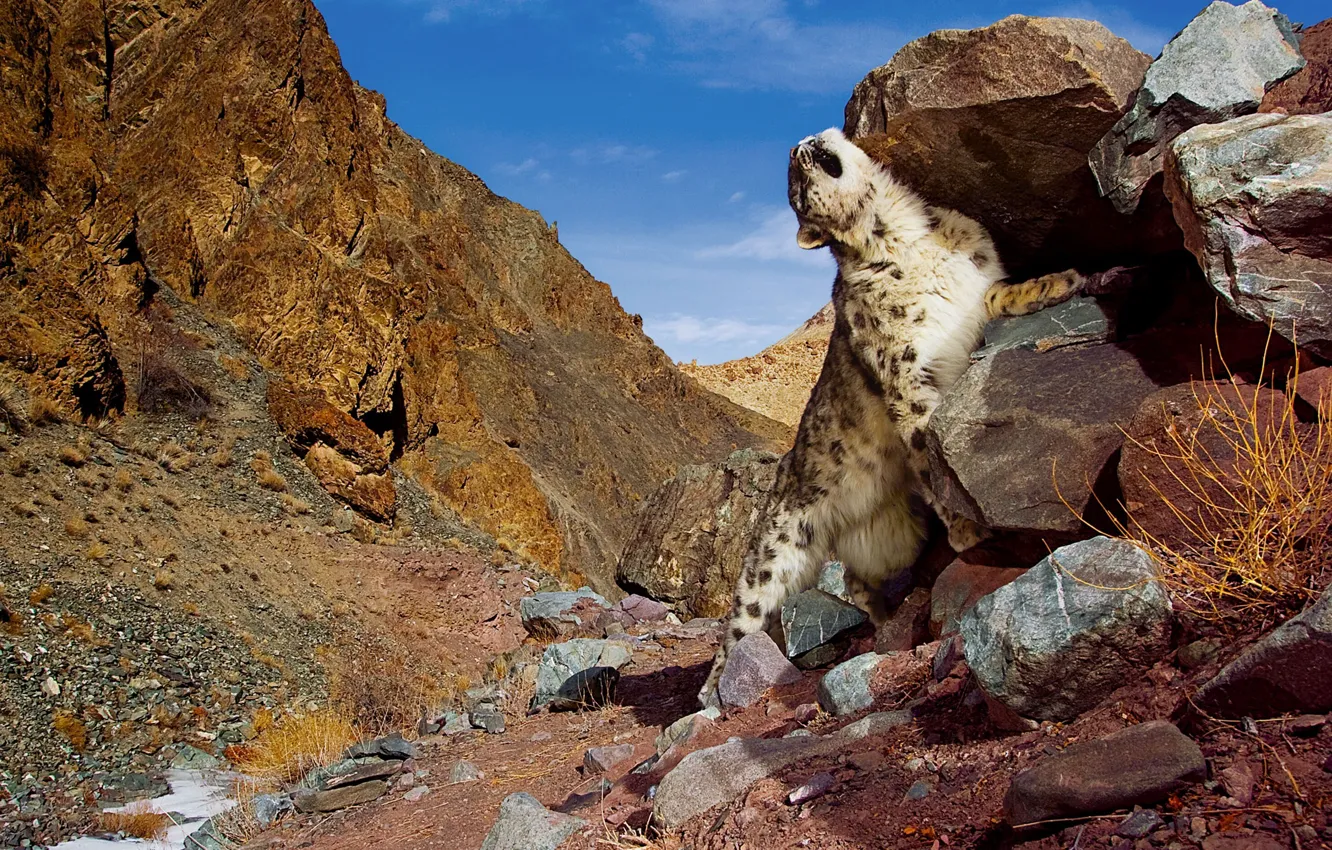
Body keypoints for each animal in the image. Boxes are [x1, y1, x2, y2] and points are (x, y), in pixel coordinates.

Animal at [697, 127, 1081, 714]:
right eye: (795, 189)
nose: (797, 146)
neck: (906, 235)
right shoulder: (905, 375)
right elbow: (925, 441)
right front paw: (969, 528)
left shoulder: (973, 296)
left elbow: (1000, 293)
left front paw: (1060, 281)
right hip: (771, 557)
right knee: (742, 621)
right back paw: (711, 691)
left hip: (891, 534)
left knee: (857, 580)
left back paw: (881, 617)